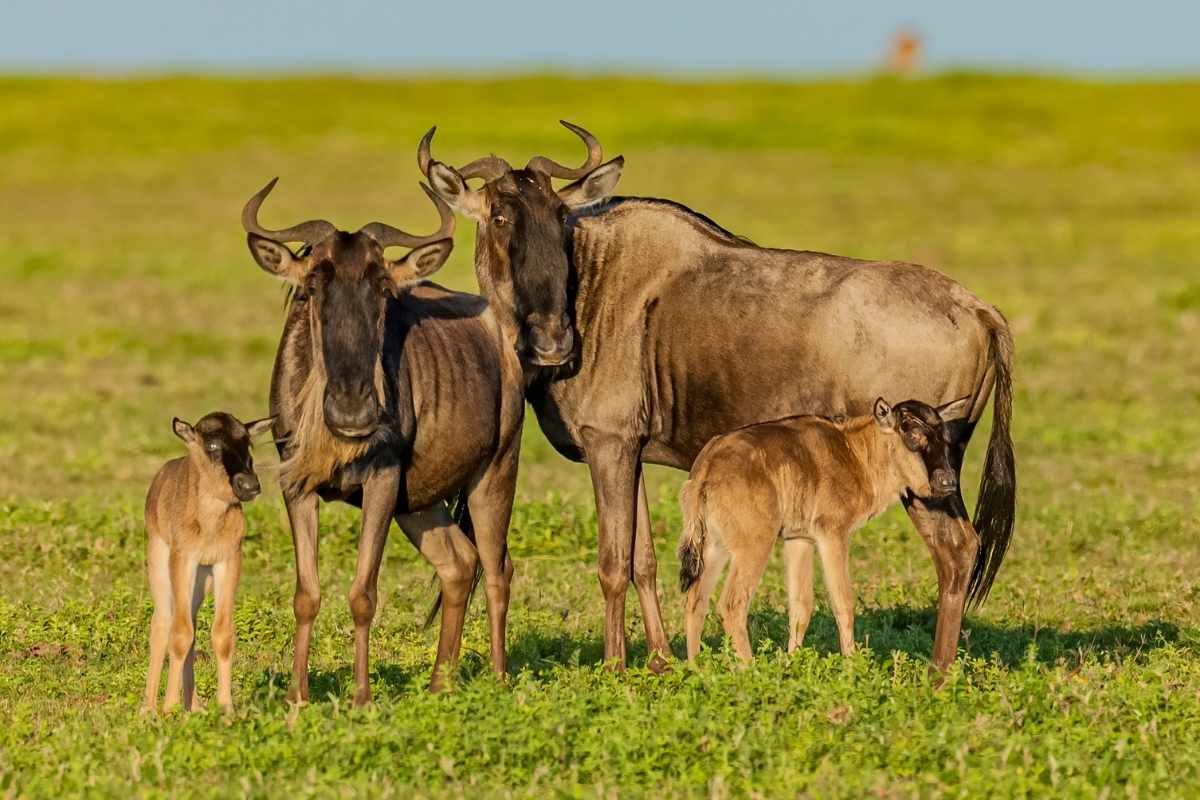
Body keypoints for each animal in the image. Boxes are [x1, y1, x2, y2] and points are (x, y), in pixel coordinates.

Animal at [143, 412, 273, 713]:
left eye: (247, 443)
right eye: (212, 445)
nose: (249, 485)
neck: (210, 522)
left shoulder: (228, 560)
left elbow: (222, 634)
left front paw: (226, 709)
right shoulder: (183, 559)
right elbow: (178, 634)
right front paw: (169, 709)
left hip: (202, 581)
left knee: (189, 621)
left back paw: (194, 706)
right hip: (159, 561)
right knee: (163, 622)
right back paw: (148, 708)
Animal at [242, 177, 524, 702]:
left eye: (382, 288)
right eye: (313, 286)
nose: (354, 411)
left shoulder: (383, 479)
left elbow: (363, 594)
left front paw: (361, 697)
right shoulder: (297, 484)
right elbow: (306, 594)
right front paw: (296, 697)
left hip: (495, 472)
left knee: (497, 570)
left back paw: (497, 680)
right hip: (420, 503)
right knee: (459, 565)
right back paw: (439, 683)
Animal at [678, 397, 971, 661]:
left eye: (944, 437)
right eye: (911, 435)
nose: (948, 482)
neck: (856, 453)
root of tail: (706, 467)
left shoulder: (799, 539)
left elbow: (801, 605)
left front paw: (793, 663)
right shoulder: (833, 535)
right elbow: (843, 602)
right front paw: (851, 665)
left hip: (714, 546)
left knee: (695, 602)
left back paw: (696, 668)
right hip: (754, 546)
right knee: (732, 603)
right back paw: (749, 668)